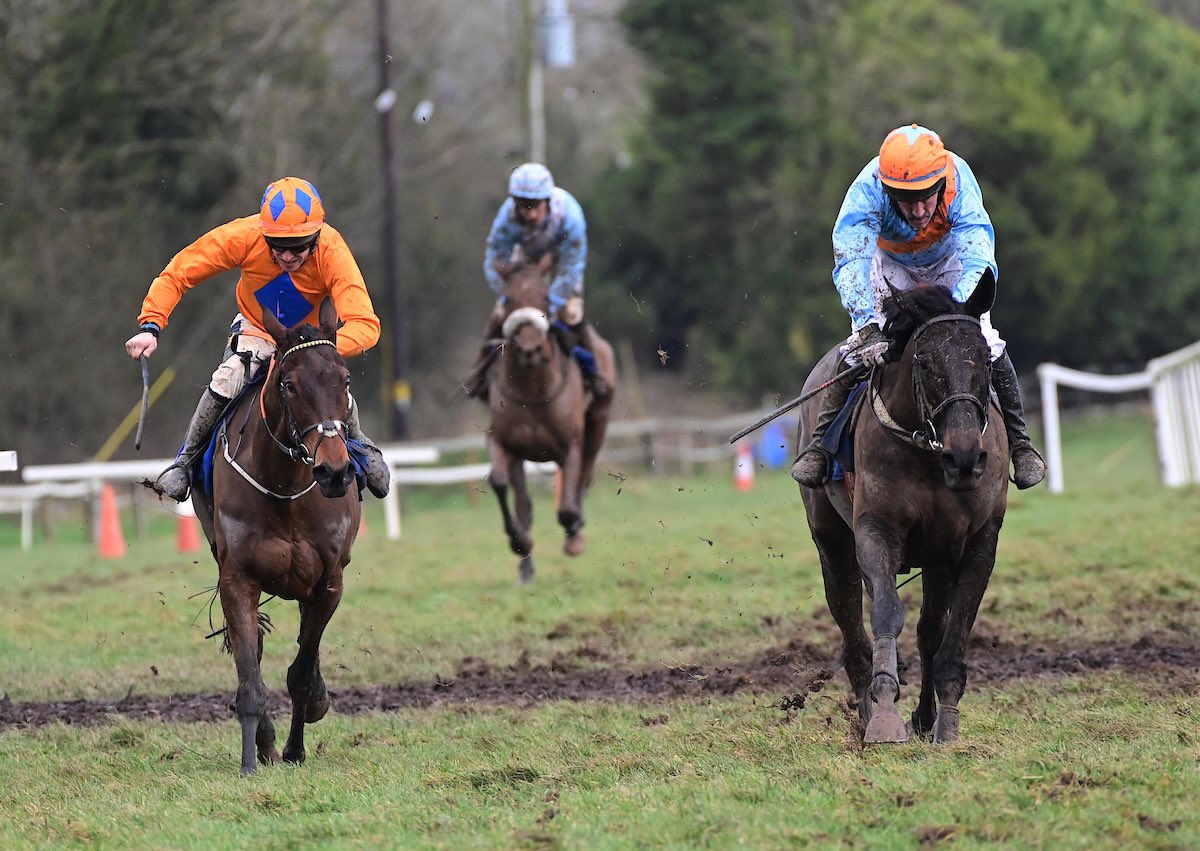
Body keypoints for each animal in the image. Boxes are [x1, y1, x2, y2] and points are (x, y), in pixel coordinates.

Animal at [189, 297, 360, 768]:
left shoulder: (328, 582)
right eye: (290, 385)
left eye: (345, 380)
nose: (335, 471)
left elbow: (301, 671)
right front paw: (252, 760)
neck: (285, 488)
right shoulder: (238, 579)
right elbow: (250, 674)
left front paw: (297, 745)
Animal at [487, 254, 619, 583]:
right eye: (507, 298)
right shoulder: (504, 442)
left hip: (598, 421)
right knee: (524, 502)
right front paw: (519, 542)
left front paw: (574, 530)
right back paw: (526, 567)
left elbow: (568, 507)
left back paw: (575, 534)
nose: (531, 348)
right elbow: (500, 483)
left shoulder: (570, 444)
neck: (533, 387)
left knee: (585, 474)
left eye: (545, 297)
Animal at [801, 272, 1008, 744]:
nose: (965, 458)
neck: (929, 457)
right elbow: (885, 614)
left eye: (985, 362)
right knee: (850, 623)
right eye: (925, 363)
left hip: (935, 559)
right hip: (832, 542)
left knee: (929, 630)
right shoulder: (876, 530)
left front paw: (944, 723)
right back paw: (864, 709)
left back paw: (925, 715)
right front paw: (883, 714)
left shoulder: (974, 543)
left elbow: (952, 630)